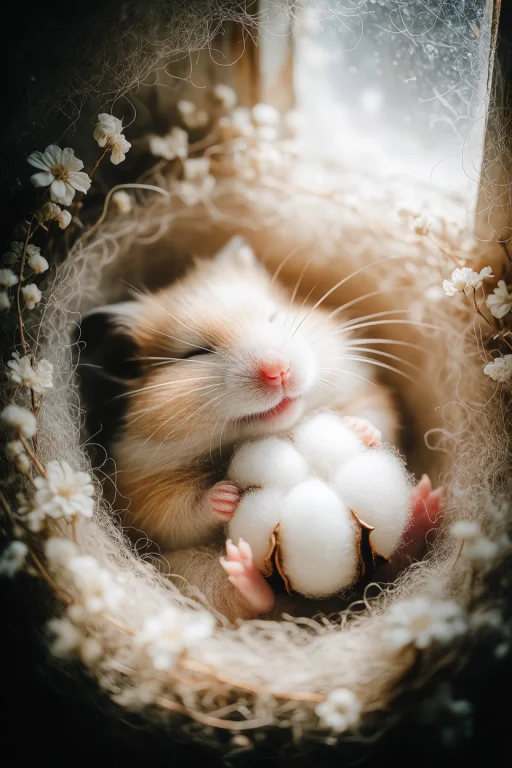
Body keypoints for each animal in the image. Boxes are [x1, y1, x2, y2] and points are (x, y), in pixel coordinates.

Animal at [79, 237, 400, 621]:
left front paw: (358, 429)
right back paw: (245, 574)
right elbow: (177, 512)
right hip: (191, 571)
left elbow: (377, 420)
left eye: (273, 316)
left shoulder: (366, 392)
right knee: (247, 599)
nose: (278, 370)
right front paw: (227, 496)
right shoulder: (139, 489)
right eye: (194, 354)